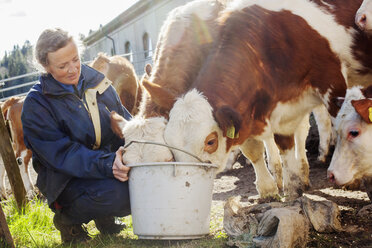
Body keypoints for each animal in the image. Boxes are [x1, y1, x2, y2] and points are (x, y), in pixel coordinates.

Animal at [147, 0, 372, 200]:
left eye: (210, 141)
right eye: (169, 142)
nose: (186, 181)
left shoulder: (332, 83)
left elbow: (342, 125)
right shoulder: (259, 110)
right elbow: (270, 148)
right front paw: (284, 190)